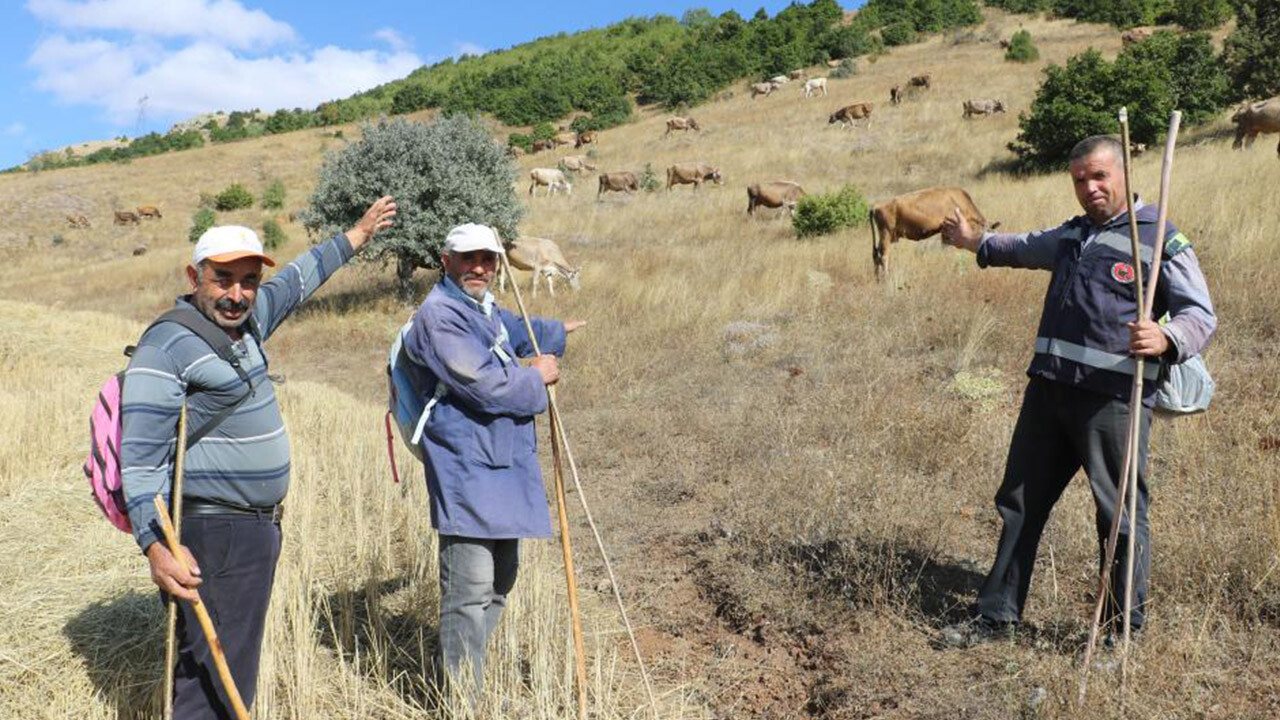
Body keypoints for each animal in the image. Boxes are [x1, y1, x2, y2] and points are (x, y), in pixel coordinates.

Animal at [870, 184, 998, 278]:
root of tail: (877, 206)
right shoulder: (947, 227)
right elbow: (945, 246)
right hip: (886, 234)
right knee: (884, 256)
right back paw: (886, 278)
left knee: (876, 255)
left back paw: (877, 279)